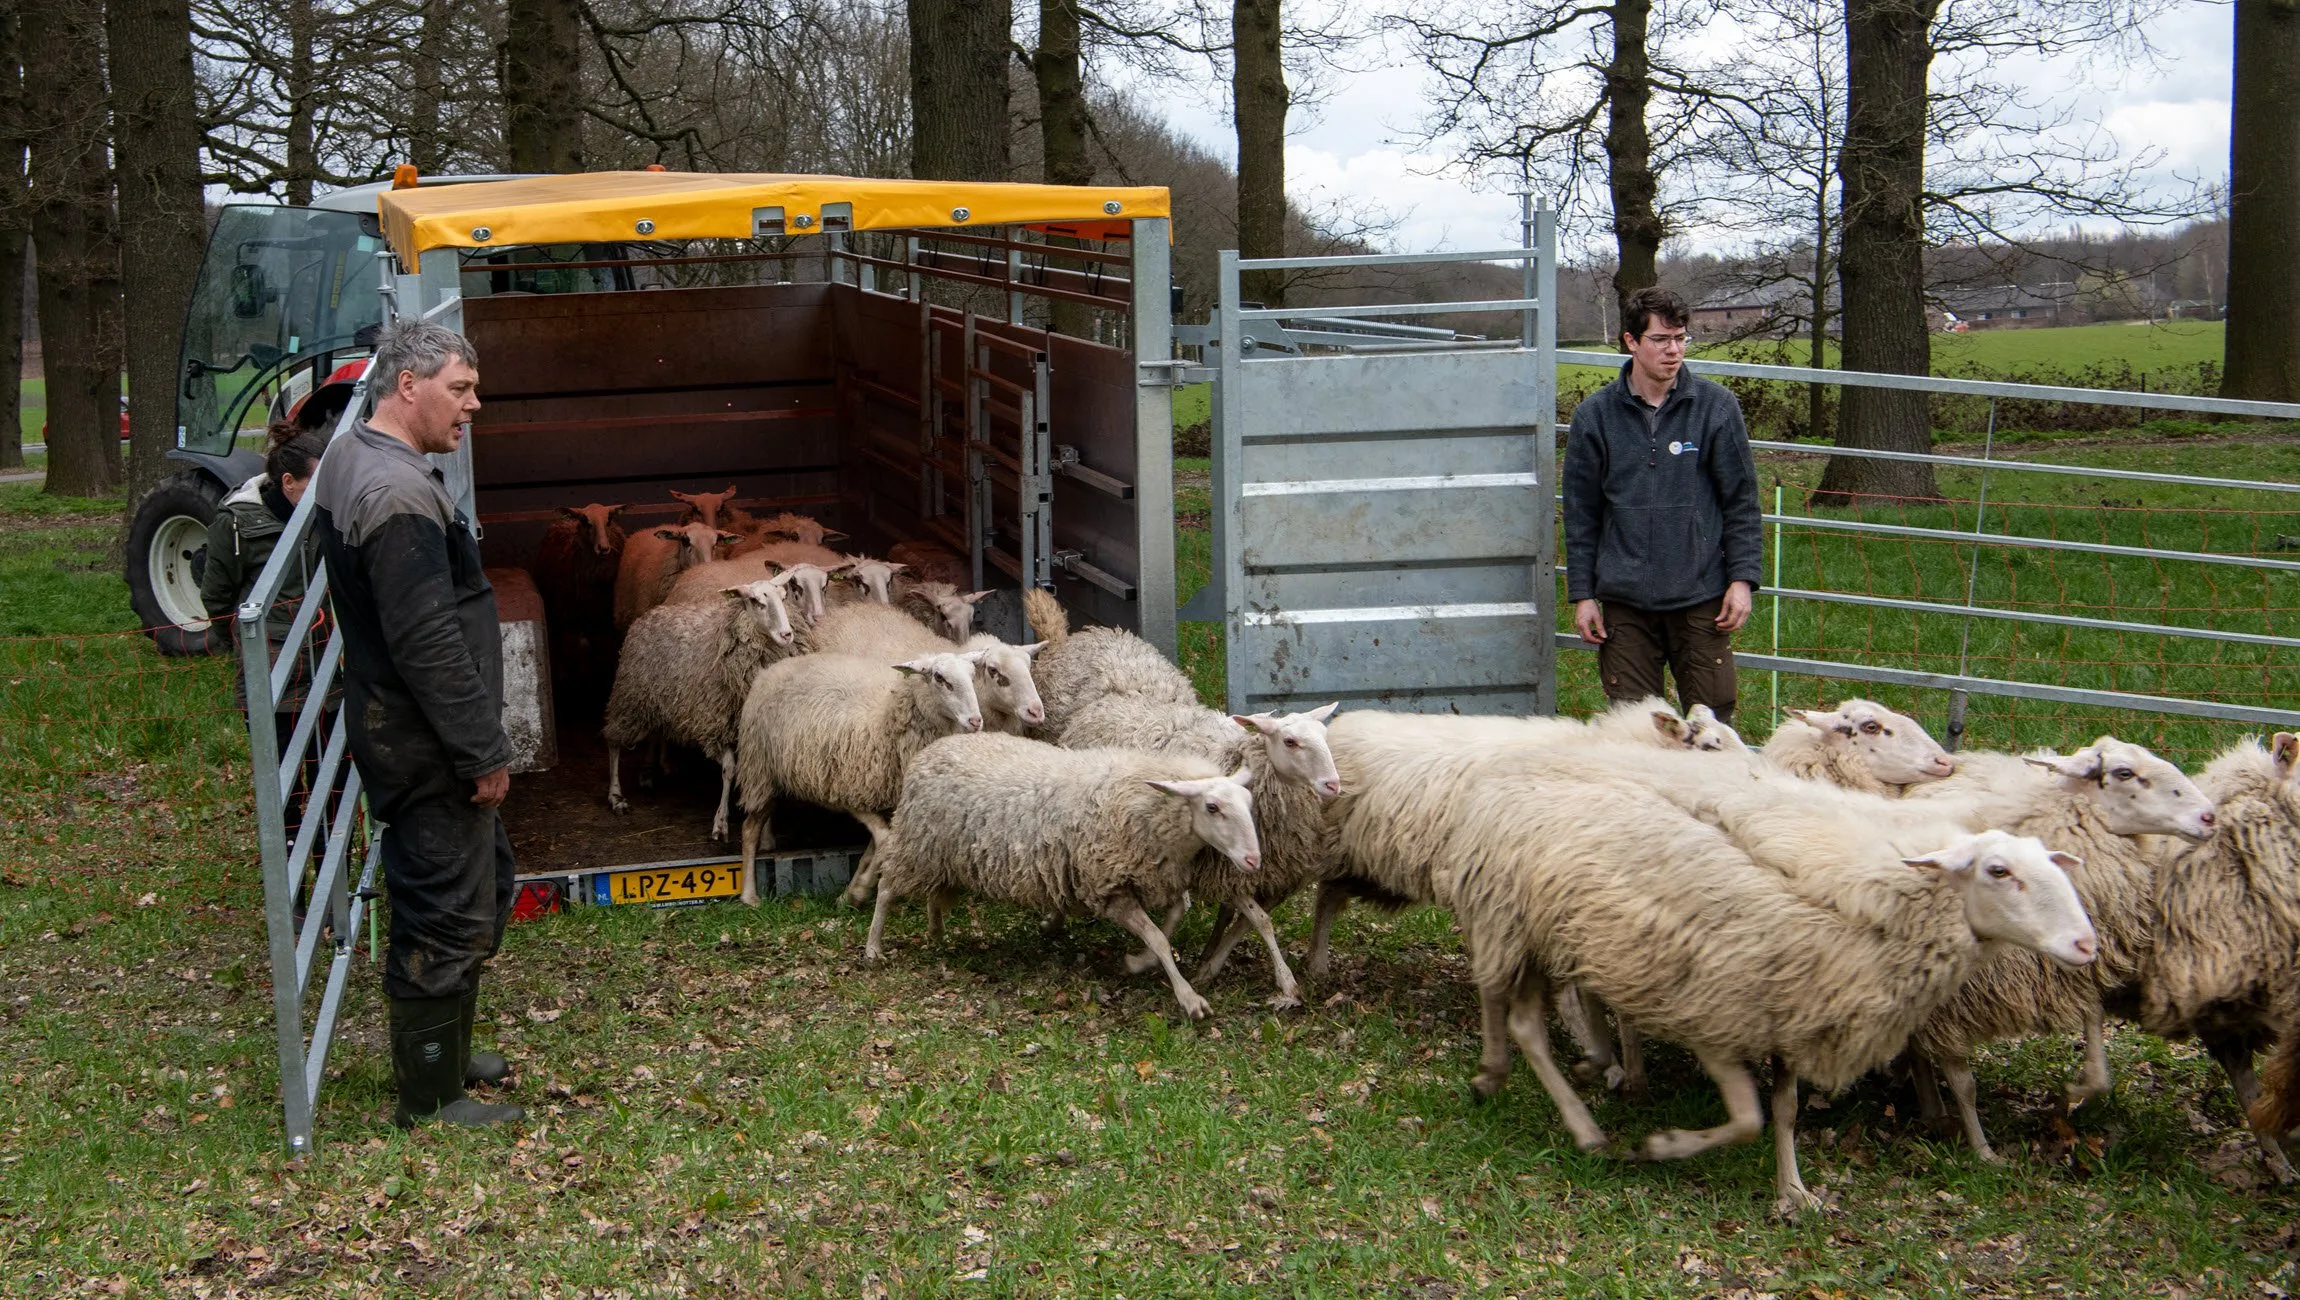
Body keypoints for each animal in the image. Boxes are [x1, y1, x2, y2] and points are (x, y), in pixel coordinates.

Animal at [602, 577, 800, 842]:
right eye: (755, 601)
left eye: (783, 597)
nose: (786, 635)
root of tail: (648, 614)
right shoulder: (716, 724)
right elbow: (729, 770)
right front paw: (720, 823)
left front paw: (766, 832)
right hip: (630, 699)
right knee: (614, 742)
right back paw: (616, 797)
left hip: (660, 701)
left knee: (656, 734)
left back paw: (648, 773)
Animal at [736, 644, 989, 906]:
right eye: (939, 678)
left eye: (972, 676)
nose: (975, 721)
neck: (886, 718)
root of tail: (772, 669)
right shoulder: (851, 793)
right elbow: (884, 840)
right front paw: (859, 891)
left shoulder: (885, 801)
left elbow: (873, 849)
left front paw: (851, 893)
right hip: (760, 770)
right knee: (749, 828)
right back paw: (749, 895)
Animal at [864, 736, 1269, 1016]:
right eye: (1212, 807)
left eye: (1249, 804)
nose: (1254, 860)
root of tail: (929, 750)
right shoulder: (1110, 889)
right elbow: (1156, 937)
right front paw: (1188, 998)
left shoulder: (1154, 878)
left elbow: (1171, 921)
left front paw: (1139, 962)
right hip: (917, 845)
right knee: (886, 888)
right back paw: (873, 948)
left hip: (942, 856)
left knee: (934, 893)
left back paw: (936, 932)